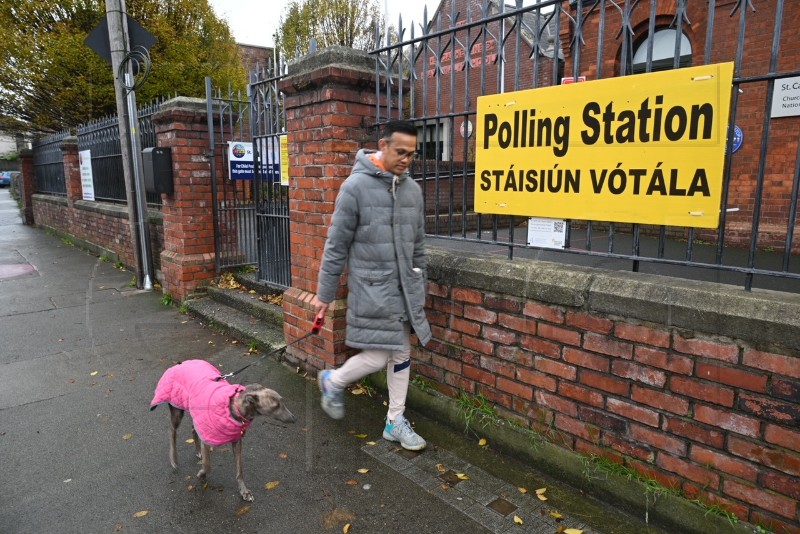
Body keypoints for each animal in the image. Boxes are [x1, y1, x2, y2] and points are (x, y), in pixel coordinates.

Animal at [148, 360, 296, 502]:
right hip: (177, 411)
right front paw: (202, 474)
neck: (233, 409)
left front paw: (244, 491)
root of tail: (180, 364)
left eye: (283, 401)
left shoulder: (236, 441)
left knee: (193, 430)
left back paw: (197, 451)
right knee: (171, 431)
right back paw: (174, 459)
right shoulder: (207, 438)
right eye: (275, 406)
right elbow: (208, 465)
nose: (294, 419)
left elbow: (239, 470)